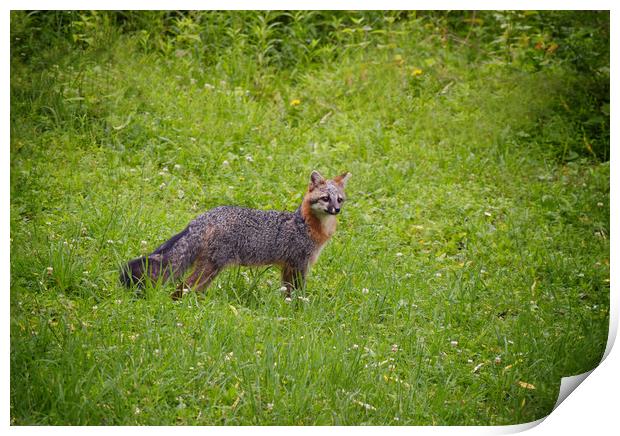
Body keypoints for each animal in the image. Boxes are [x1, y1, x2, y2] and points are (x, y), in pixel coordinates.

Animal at [119, 171, 352, 300]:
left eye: (339, 199)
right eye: (325, 198)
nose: (336, 210)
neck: (307, 225)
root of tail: (204, 217)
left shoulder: (287, 266)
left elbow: (287, 292)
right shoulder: (298, 264)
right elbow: (297, 293)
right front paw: (298, 310)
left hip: (210, 269)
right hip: (211, 267)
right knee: (183, 287)